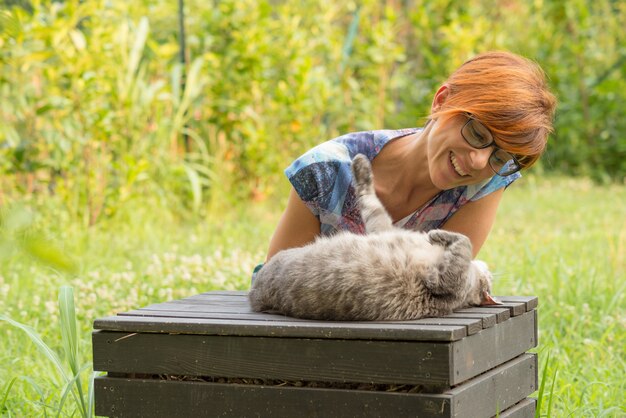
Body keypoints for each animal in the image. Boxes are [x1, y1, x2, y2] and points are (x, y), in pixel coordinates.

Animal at [247, 153, 498, 320]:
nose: (488, 269)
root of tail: (254, 295)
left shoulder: (441, 280)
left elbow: (465, 241)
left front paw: (438, 234)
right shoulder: (383, 228)